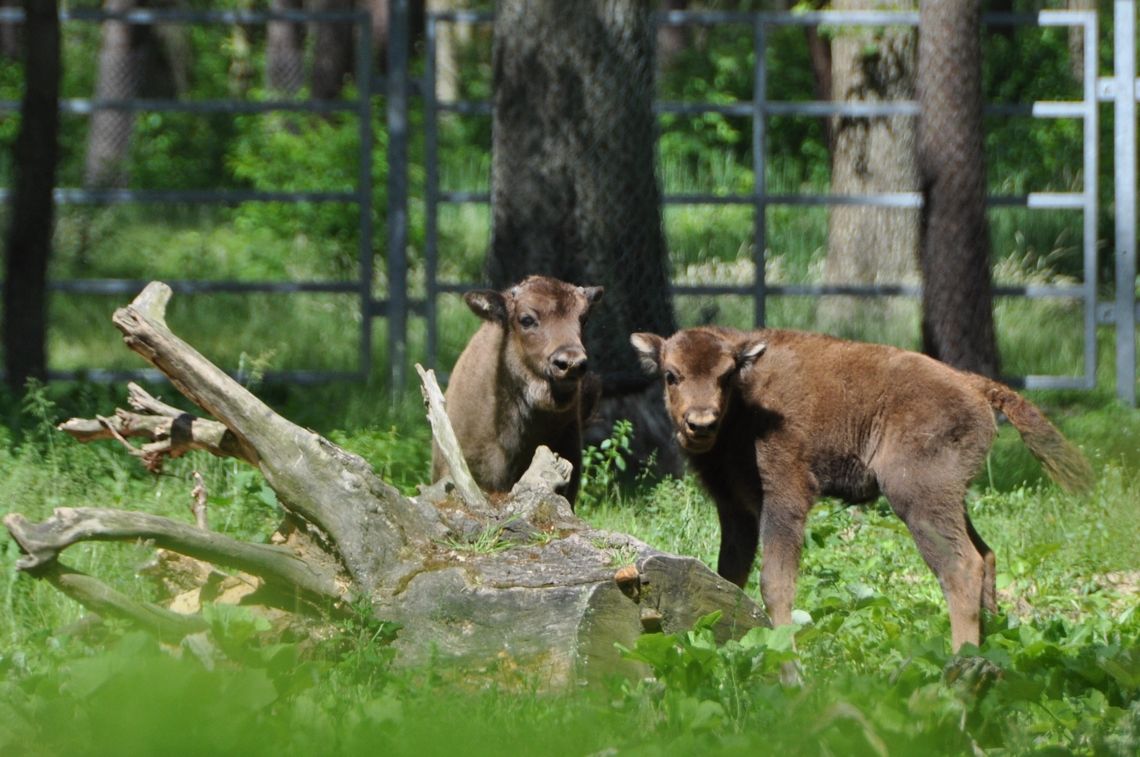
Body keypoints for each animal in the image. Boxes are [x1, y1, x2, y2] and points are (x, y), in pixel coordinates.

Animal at [633, 326, 1094, 652]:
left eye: (726, 375)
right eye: (671, 375)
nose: (700, 423)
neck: (747, 405)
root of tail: (974, 385)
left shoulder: (785, 498)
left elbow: (776, 583)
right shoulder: (736, 510)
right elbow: (728, 578)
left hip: (918, 501)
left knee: (961, 568)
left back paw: (959, 661)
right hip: (948, 500)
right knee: (986, 554)